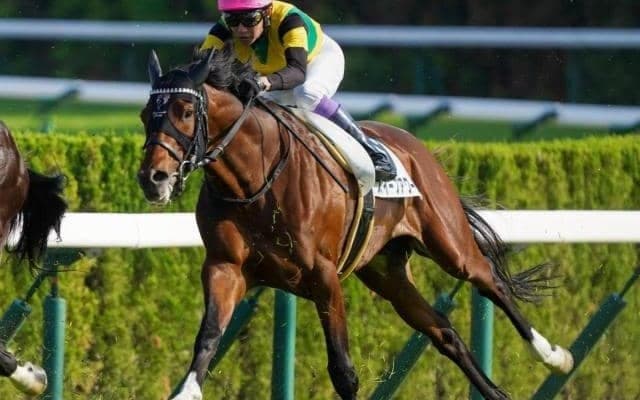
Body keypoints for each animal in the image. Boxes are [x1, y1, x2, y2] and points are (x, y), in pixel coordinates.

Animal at [137, 48, 573, 400]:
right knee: (444, 332)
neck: (254, 181)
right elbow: (208, 337)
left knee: (489, 281)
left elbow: (343, 370)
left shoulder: (323, 275)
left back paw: (553, 356)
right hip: (386, 273)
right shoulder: (225, 268)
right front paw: (187, 391)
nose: (152, 178)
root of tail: (416, 146)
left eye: (186, 112)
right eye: (144, 116)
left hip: (449, 244)